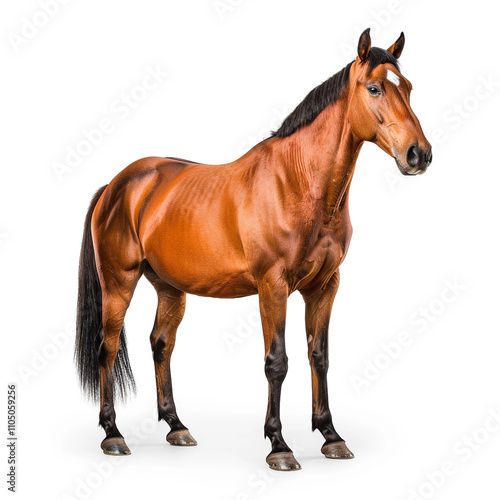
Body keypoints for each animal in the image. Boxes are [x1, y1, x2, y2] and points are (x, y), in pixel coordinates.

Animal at [75, 29, 434, 470]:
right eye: (375, 88)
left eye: (409, 88)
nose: (419, 154)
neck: (298, 180)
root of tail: (116, 185)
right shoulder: (272, 286)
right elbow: (276, 362)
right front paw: (279, 445)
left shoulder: (325, 287)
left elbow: (319, 356)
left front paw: (330, 436)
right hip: (118, 283)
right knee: (107, 348)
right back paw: (113, 433)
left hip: (170, 288)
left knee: (161, 344)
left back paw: (176, 427)